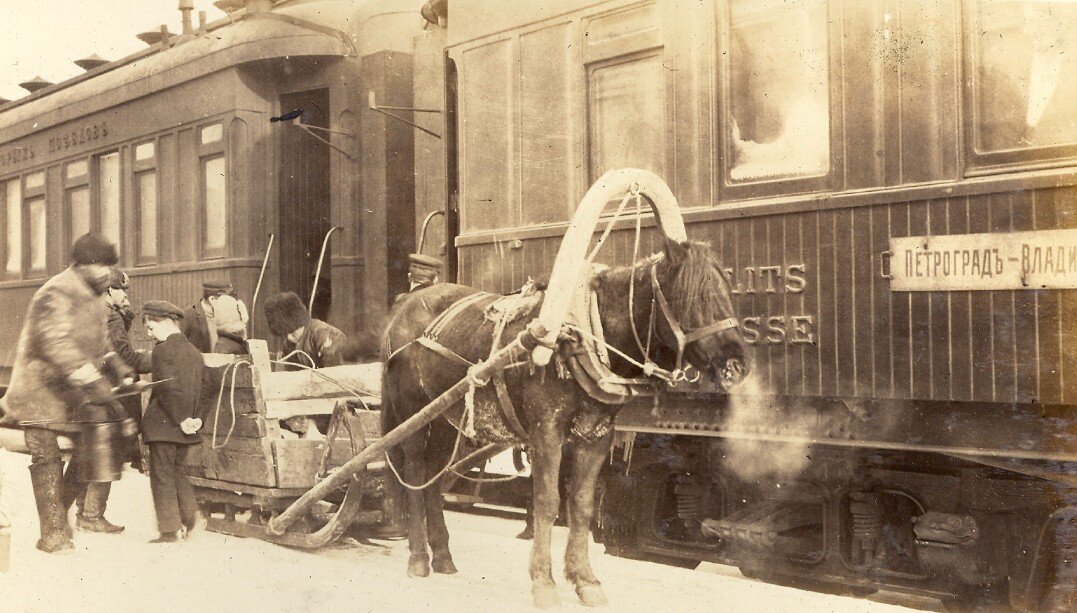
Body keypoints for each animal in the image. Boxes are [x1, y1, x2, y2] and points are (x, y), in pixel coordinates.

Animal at [381, 235, 749, 607]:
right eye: (698, 295)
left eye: (727, 290)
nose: (739, 363)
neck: (581, 335)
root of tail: (406, 302)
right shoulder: (546, 432)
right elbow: (546, 503)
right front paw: (544, 582)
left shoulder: (596, 435)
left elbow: (582, 506)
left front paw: (586, 580)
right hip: (412, 412)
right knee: (415, 472)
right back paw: (418, 558)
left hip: (446, 416)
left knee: (432, 477)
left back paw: (443, 556)